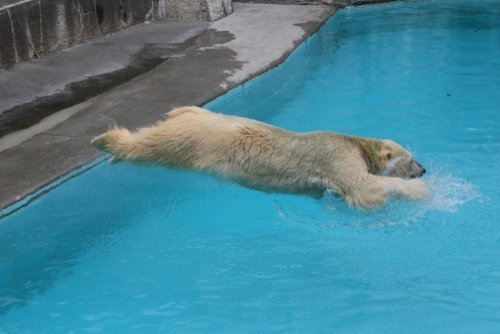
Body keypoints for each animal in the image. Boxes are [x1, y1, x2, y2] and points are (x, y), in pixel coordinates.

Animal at [92, 106, 428, 209]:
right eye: (411, 158)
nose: (423, 169)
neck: (357, 144)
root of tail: (188, 111)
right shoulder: (337, 155)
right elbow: (363, 189)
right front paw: (422, 190)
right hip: (195, 140)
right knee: (156, 145)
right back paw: (107, 142)